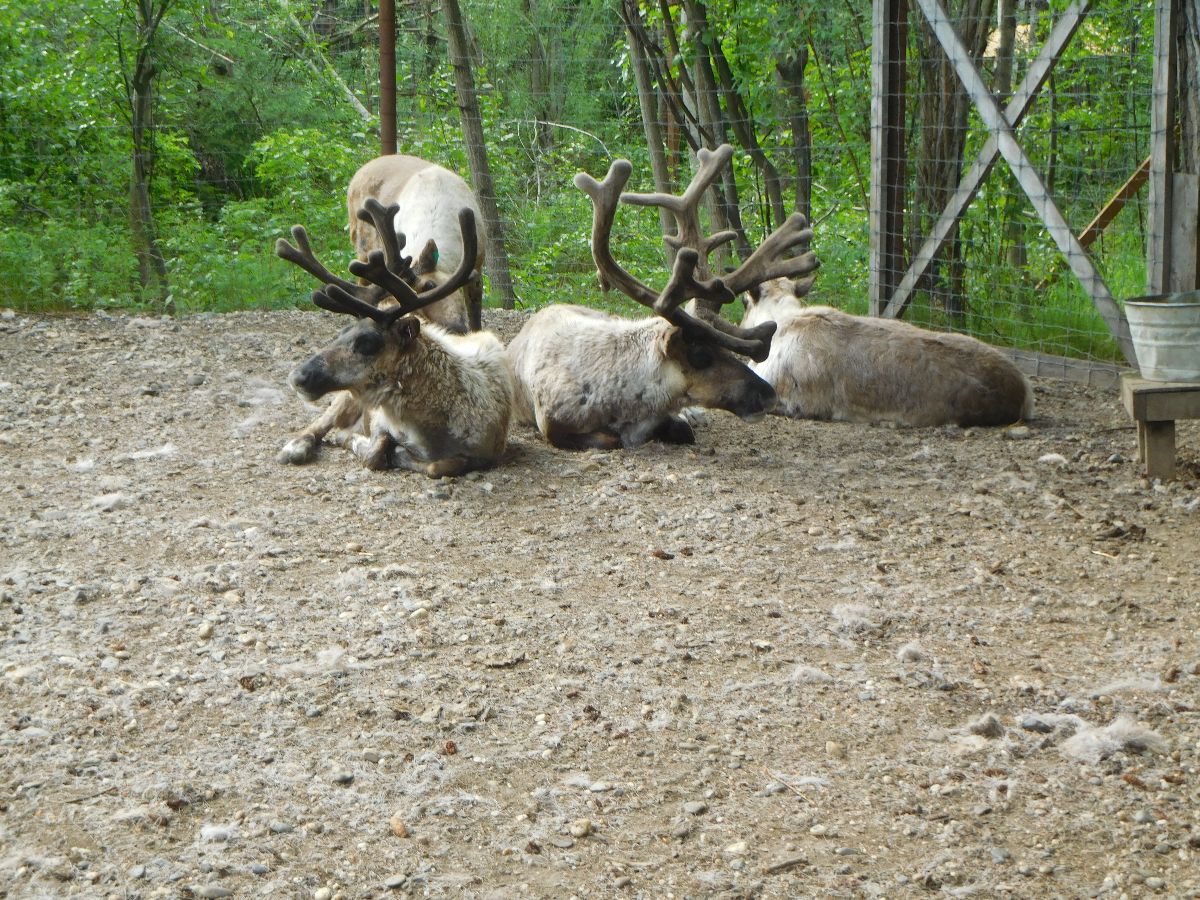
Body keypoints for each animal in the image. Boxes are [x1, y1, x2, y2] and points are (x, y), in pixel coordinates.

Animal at [274, 202, 513, 476]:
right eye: (340, 333)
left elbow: (437, 466)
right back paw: (295, 447)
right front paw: (355, 441)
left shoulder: (489, 451)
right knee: (322, 421)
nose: (297, 376)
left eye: (367, 343)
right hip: (344, 399)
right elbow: (373, 454)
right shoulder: (379, 422)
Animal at [346, 154, 487, 333]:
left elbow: (475, 310)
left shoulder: (478, 263)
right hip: (362, 247)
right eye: (419, 313)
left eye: (430, 285)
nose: (454, 327)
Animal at [506, 144, 819, 450]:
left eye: (727, 350)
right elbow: (611, 439)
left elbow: (679, 428)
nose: (768, 394)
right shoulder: (552, 425)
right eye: (701, 355)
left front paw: (682, 420)